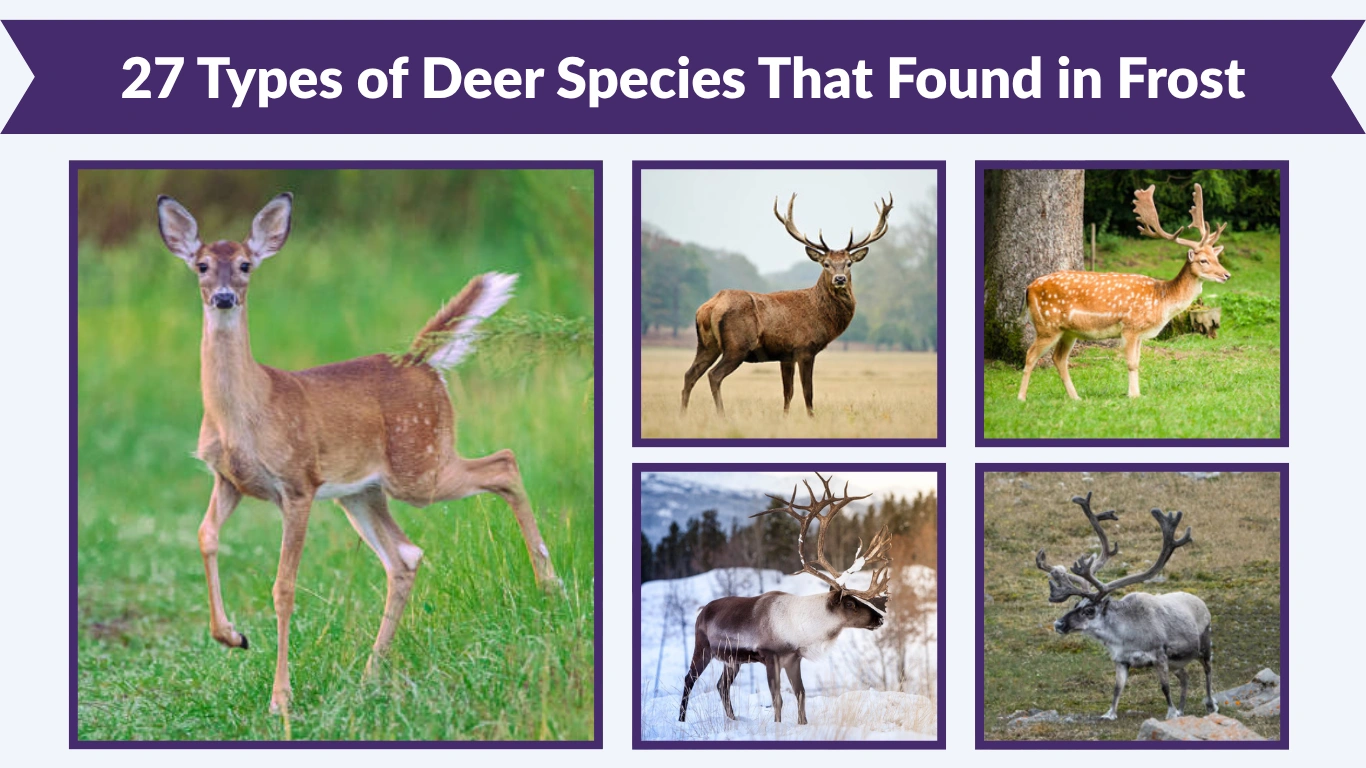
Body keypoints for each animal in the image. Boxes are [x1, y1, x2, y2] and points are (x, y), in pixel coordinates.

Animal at [156, 193, 559, 716]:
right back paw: (370, 675)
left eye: (245, 264)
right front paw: (231, 636)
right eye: (202, 265)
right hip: (364, 492)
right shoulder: (228, 479)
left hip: (420, 465)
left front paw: (280, 698)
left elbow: (284, 587)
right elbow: (205, 535)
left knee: (504, 463)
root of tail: (422, 361)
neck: (244, 413)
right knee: (405, 555)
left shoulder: (299, 484)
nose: (224, 296)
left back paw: (550, 584)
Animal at [679, 473, 890, 725]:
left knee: (722, 685)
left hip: (732, 660)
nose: (880, 619)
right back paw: (681, 720)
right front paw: (778, 725)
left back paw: (733, 719)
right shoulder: (771, 657)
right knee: (689, 679)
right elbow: (777, 698)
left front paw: (802, 724)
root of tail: (702, 610)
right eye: (850, 604)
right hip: (703, 647)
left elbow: (801, 694)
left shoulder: (793, 659)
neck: (801, 629)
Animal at [680, 193, 892, 417]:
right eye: (825, 264)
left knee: (690, 374)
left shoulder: (786, 355)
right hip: (737, 345)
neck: (821, 315)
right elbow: (808, 392)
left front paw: (785, 417)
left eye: (849, 263)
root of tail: (709, 307)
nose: (840, 279)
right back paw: (722, 416)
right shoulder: (805, 348)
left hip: (706, 344)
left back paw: (682, 414)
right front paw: (811, 417)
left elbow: (788, 392)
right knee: (714, 375)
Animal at [1017, 183, 1231, 401]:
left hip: (1068, 331)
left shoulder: (1139, 333)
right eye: (1203, 260)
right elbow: (1131, 363)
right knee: (1031, 355)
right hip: (1047, 325)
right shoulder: (1130, 327)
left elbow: (1137, 362)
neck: (1161, 299)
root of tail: (1028, 288)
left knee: (1058, 358)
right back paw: (1021, 397)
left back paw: (1076, 398)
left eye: (1216, 257)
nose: (1226, 275)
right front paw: (1133, 395)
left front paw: (1136, 393)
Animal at [1035, 492, 1216, 721]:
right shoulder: (1121, 660)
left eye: (1089, 610)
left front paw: (1170, 712)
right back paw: (1183, 710)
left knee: (1207, 670)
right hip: (1178, 662)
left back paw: (1211, 705)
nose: (1058, 624)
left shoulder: (1160, 655)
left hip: (1204, 645)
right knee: (1185, 676)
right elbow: (1117, 688)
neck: (1124, 634)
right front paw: (1110, 713)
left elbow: (1165, 687)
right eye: (1076, 603)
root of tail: (1200, 601)